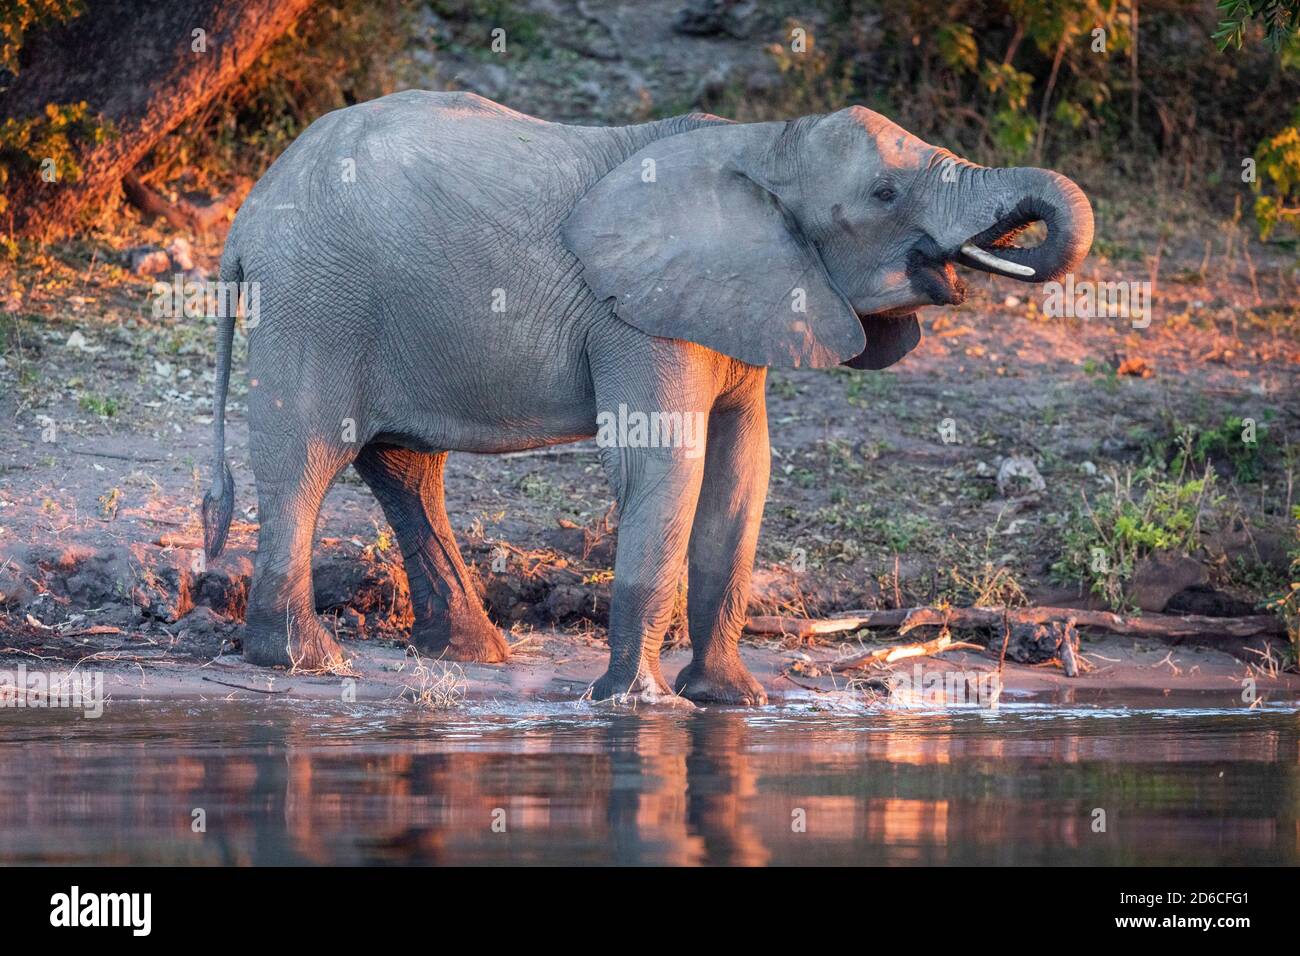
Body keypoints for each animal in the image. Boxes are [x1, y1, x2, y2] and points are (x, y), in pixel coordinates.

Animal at [202, 91, 1092, 702]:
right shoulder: (634, 313)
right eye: (884, 195)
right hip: (317, 297)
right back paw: (305, 661)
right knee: (309, 456)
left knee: (403, 466)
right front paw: (637, 706)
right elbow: (665, 465)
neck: (760, 139)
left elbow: (742, 471)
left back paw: (471, 653)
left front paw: (733, 701)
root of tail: (245, 220)